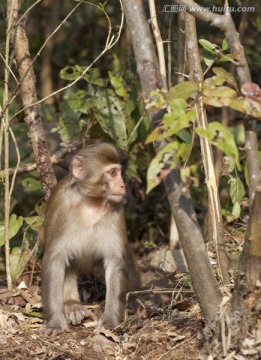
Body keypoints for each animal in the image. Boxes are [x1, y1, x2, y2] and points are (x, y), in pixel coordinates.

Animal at [39, 143, 139, 334]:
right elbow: (55, 259)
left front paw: (110, 320)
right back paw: (71, 304)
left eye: (120, 173)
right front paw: (55, 321)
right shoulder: (62, 205)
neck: (91, 201)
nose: (122, 185)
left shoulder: (117, 207)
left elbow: (115, 261)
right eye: (112, 173)